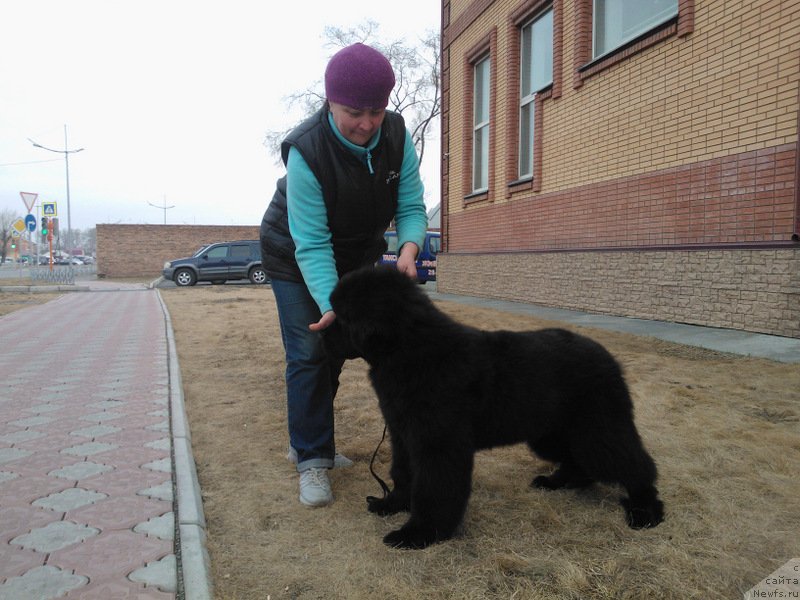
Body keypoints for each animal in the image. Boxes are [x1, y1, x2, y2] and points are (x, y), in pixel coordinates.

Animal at [324, 266, 664, 548]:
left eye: (342, 317)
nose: (317, 331)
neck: (411, 350)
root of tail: (608, 357)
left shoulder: (438, 443)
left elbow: (433, 487)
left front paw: (420, 533)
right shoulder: (403, 434)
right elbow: (403, 472)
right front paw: (392, 504)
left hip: (598, 430)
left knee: (634, 464)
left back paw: (645, 510)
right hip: (552, 432)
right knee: (578, 461)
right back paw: (556, 482)